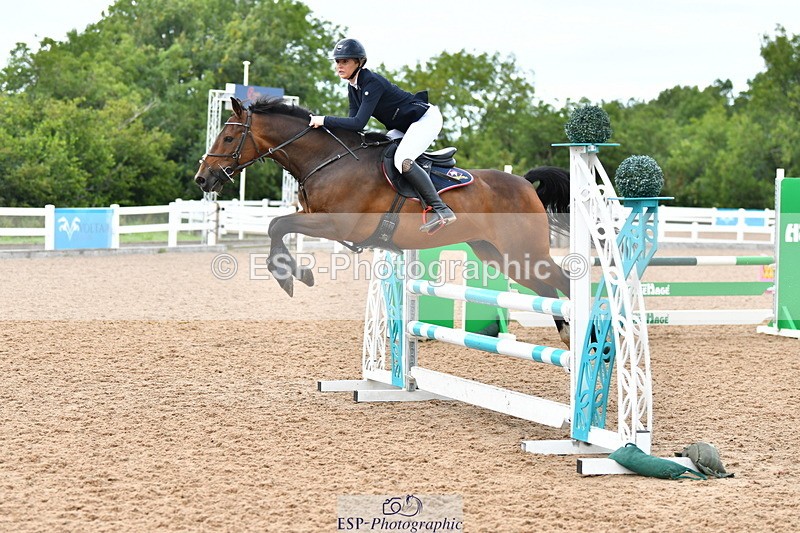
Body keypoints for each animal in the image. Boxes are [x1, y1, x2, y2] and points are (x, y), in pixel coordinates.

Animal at [194, 97, 573, 345]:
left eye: (228, 138)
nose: (203, 179)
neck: (328, 160)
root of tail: (525, 183)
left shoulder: (336, 224)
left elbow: (277, 226)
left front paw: (292, 277)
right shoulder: (313, 217)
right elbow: (278, 226)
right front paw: (297, 274)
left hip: (524, 252)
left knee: (562, 282)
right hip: (498, 255)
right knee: (547, 290)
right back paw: (569, 338)